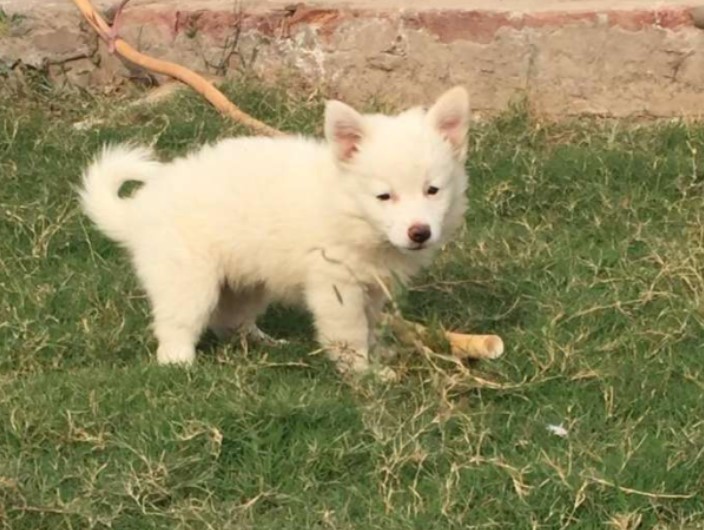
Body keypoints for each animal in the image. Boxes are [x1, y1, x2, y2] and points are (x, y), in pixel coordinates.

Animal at [80, 86, 470, 374]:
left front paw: (378, 353)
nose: (420, 233)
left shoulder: (371, 286)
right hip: (188, 279)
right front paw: (364, 372)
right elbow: (351, 332)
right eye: (384, 196)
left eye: (433, 190)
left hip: (246, 282)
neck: (347, 207)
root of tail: (138, 210)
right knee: (178, 323)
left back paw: (263, 342)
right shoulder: (336, 286)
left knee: (230, 321)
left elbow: (370, 324)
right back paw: (180, 363)